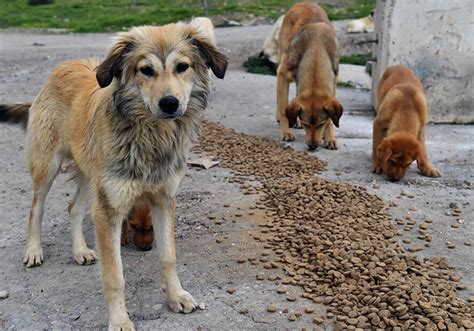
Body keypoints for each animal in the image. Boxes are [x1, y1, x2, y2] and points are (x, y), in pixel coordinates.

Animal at [0, 22, 228, 330]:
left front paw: (176, 296)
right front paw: (119, 319)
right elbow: (114, 277)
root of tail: (62, 66)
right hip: (48, 165)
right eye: (146, 70)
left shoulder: (163, 200)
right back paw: (34, 250)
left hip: (90, 174)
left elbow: (168, 257)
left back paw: (80, 251)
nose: (170, 103)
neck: (151, 136)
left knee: (73, 208)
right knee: (36, 208)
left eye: (182, 66)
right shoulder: (109, 210)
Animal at [276, 2, 342, 150]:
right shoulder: (282, 74)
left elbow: (331, 120)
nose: (312, 146)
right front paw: (286, 131)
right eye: (306, 123)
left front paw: (329, 137)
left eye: (320, 124)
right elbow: (283, 108)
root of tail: (305, 2)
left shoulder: (334, 82)